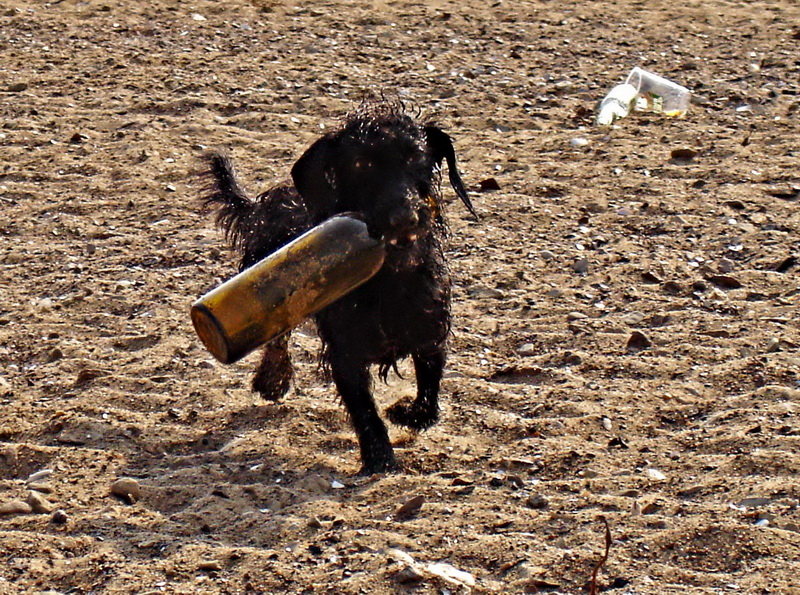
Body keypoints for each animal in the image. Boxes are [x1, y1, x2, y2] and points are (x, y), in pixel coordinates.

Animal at [203, 101, 476, 474]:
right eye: (361, 164)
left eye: (414, 156)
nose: (404, 218)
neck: (389, 280)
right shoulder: (345, 353)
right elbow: (364, 409)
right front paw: (380, 458)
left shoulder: (429, 333)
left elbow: (429, 398)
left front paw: (405, 412)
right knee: (276, 337)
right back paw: (273, 380)